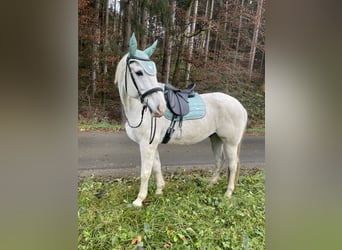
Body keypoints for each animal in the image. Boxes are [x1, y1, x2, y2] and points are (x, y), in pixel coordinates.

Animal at [113, 34, 247, 207]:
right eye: (139, 72)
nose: (160, 108)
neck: (138, 110)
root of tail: (240, 107)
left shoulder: (146, 145)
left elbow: (145, 172)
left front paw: (139, 200)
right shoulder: (152, 144)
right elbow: (157, 166)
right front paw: (159, 190)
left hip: (230, 143)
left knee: (232, 164)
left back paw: (228, 193)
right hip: (216, 139)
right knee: (219, 161)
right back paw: (210, 186)